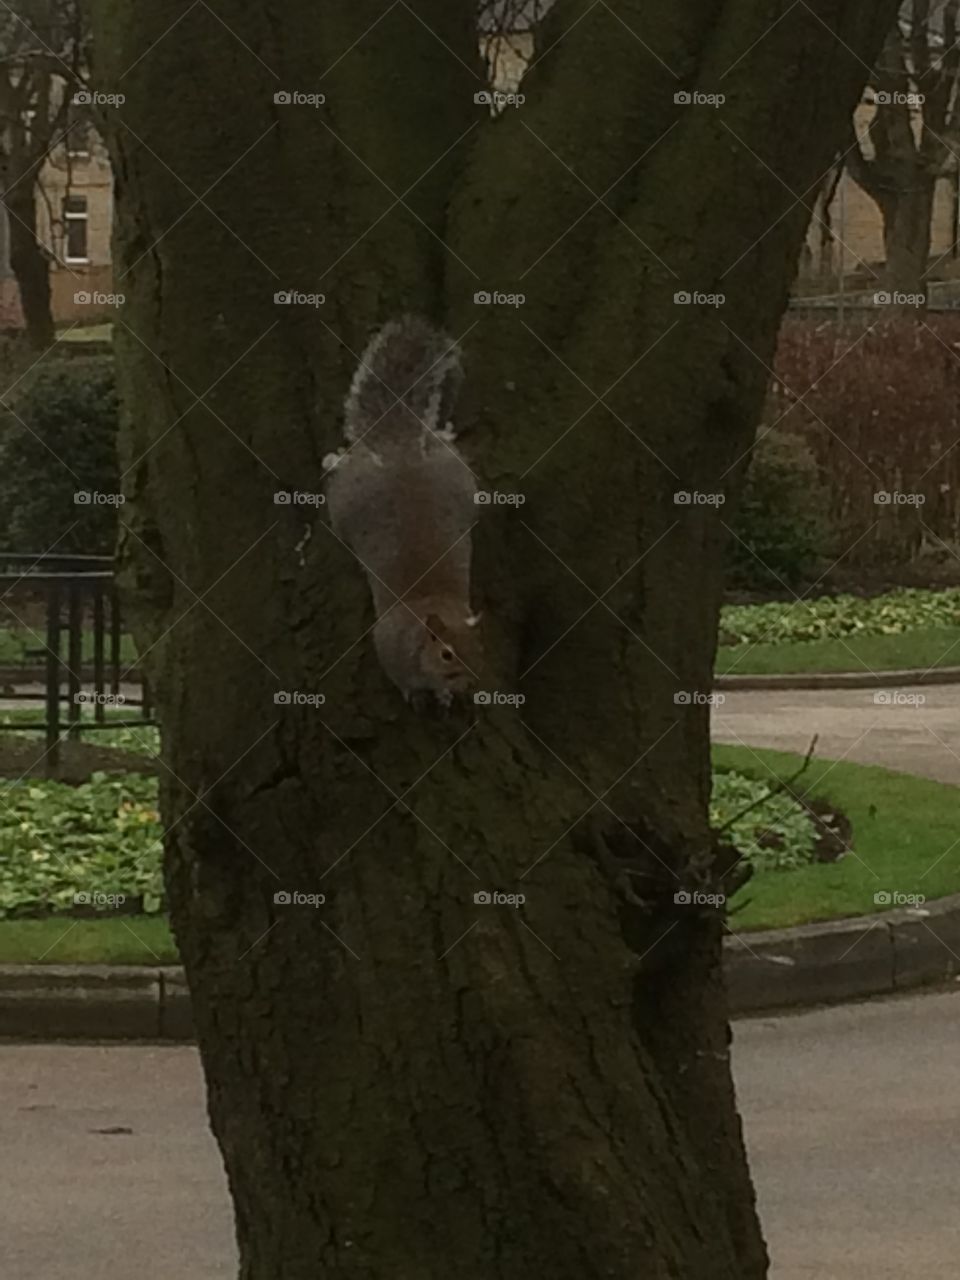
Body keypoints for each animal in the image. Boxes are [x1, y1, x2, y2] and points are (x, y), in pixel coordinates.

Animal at [323, 315, 482, 704]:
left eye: (481, 648)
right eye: (446, 654)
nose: (471, 683)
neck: (432, 604)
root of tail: (399, 448)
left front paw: (445, 695)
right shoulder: (388, 645)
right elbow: (403, 680)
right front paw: (420, 695)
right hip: (347, 502)